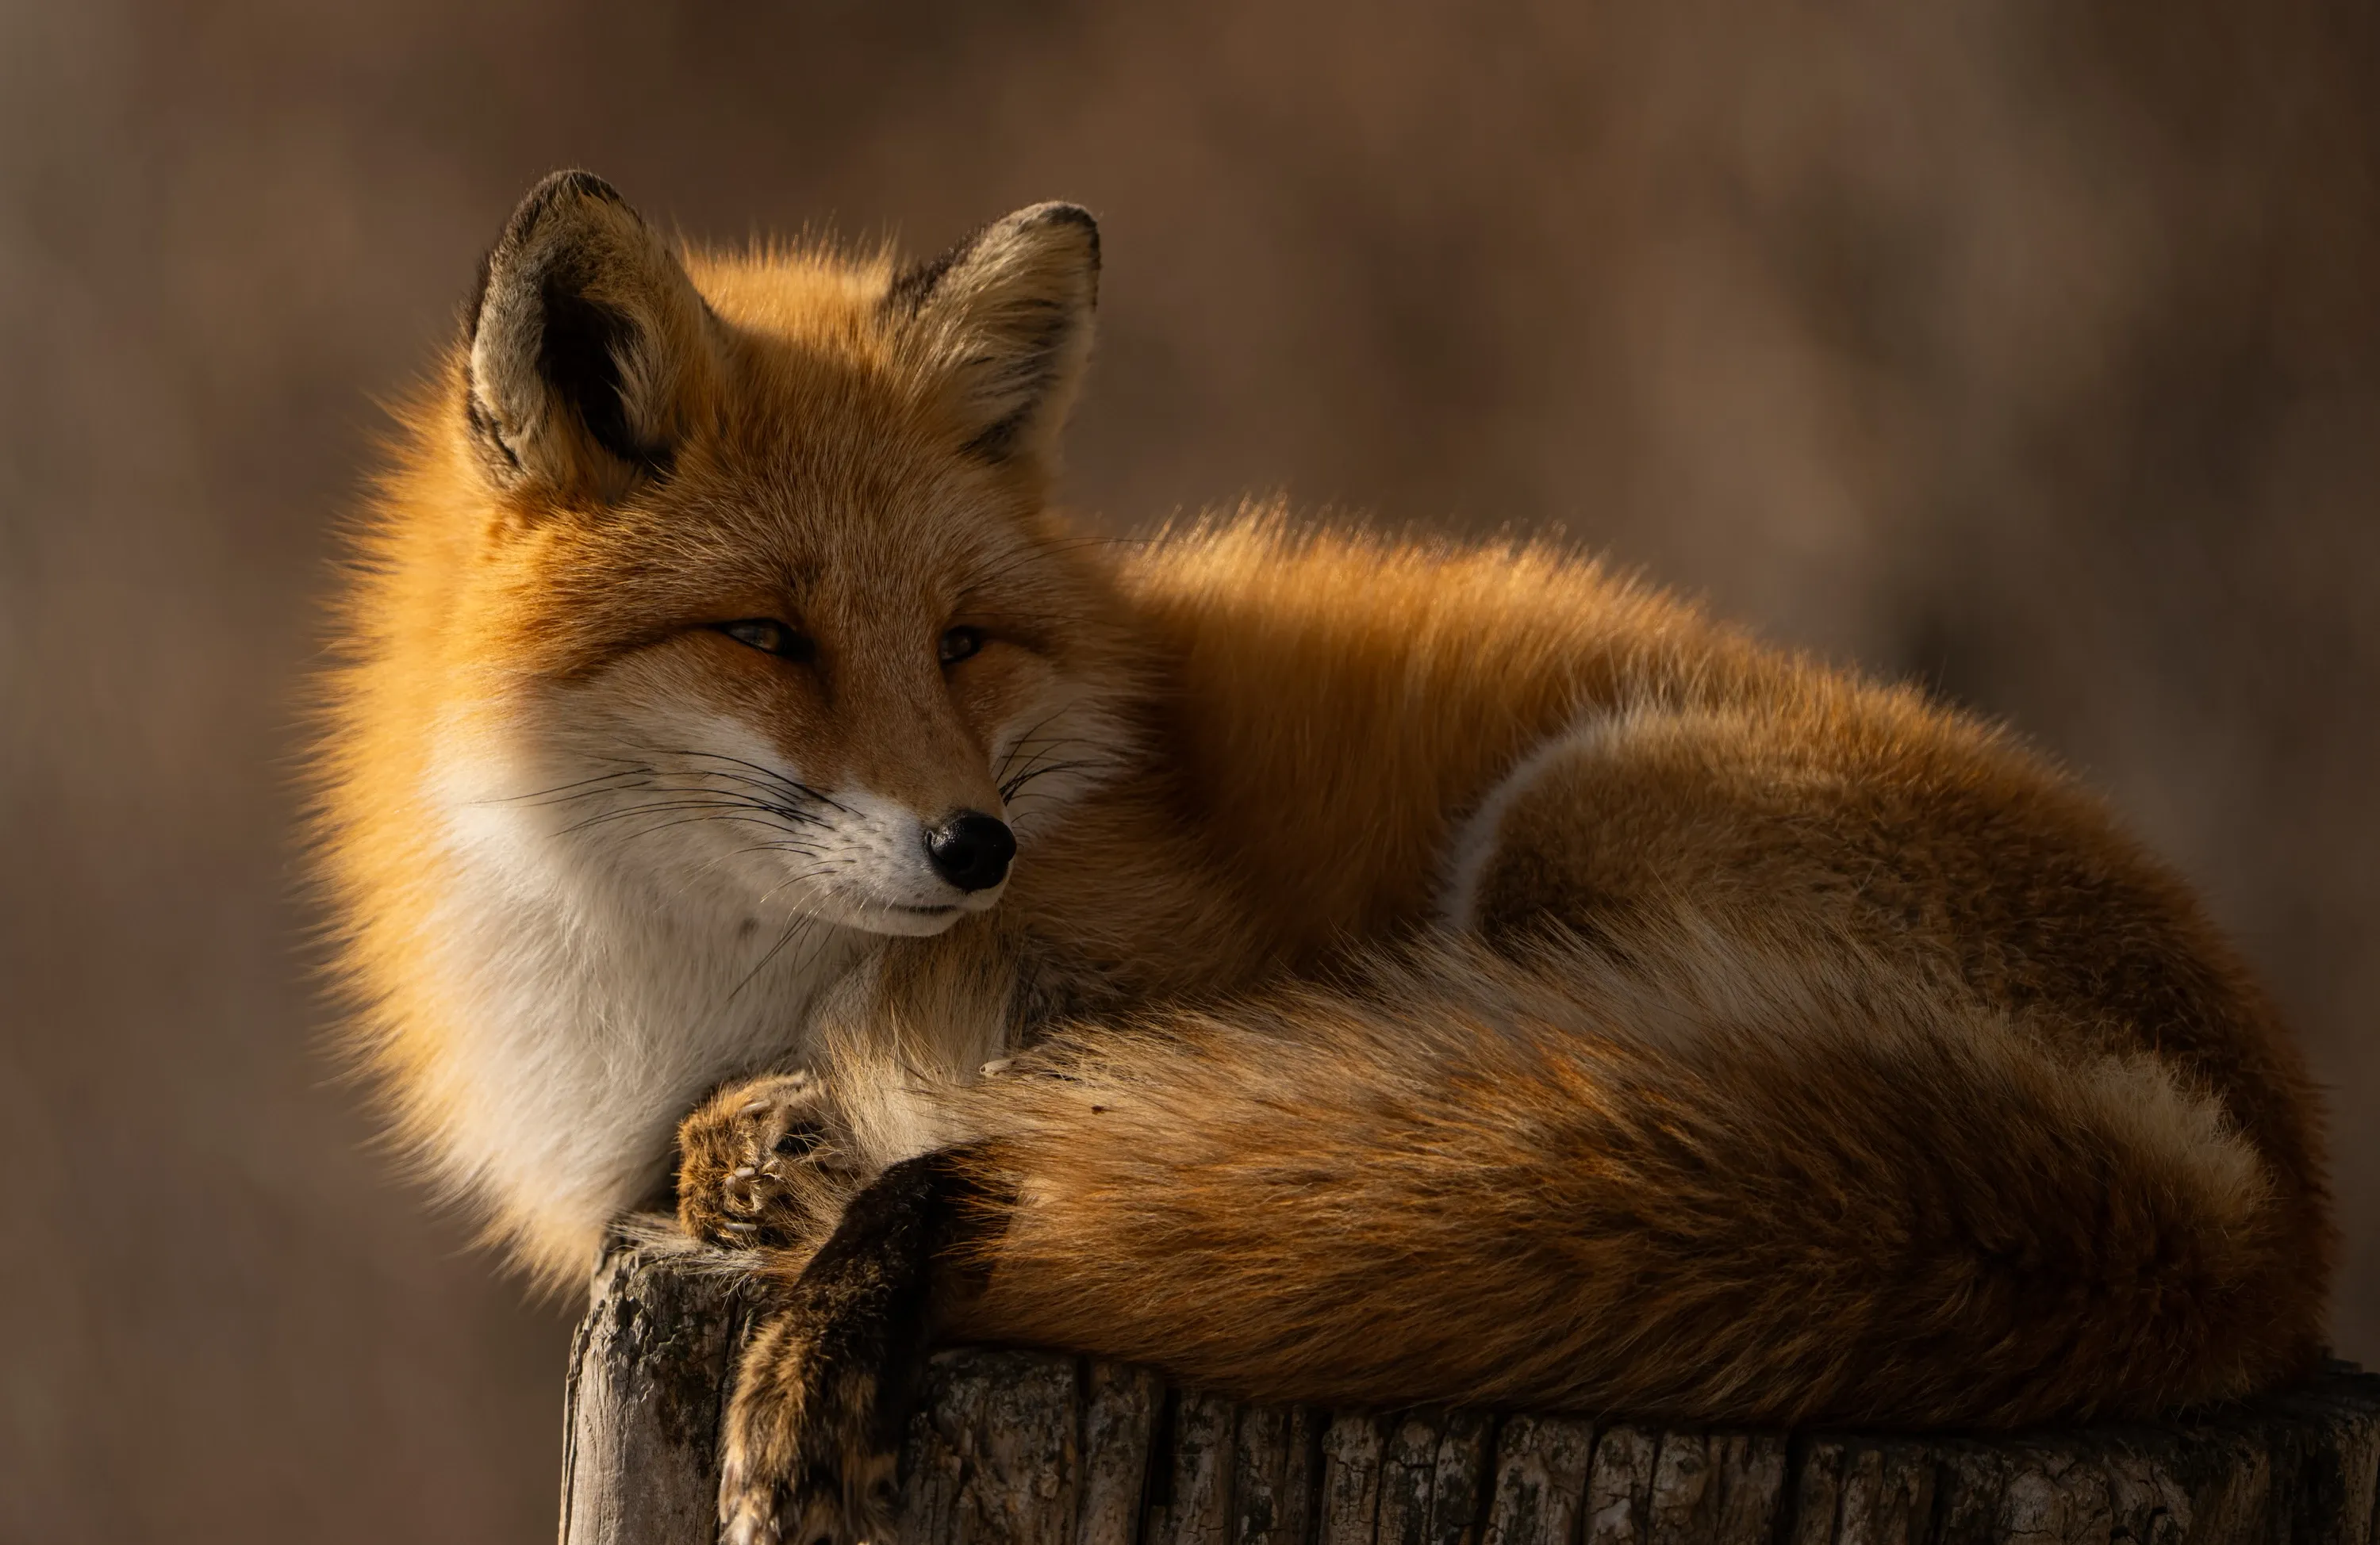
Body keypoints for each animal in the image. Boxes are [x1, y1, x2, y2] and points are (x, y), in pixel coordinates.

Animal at [312, 170, 2335, 1545]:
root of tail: (2266, 1218)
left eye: (963, 641)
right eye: (767, 637)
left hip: (1570, 825)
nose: (974, 846)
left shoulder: (1169, 976)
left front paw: (818, 1247)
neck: (690, 984)